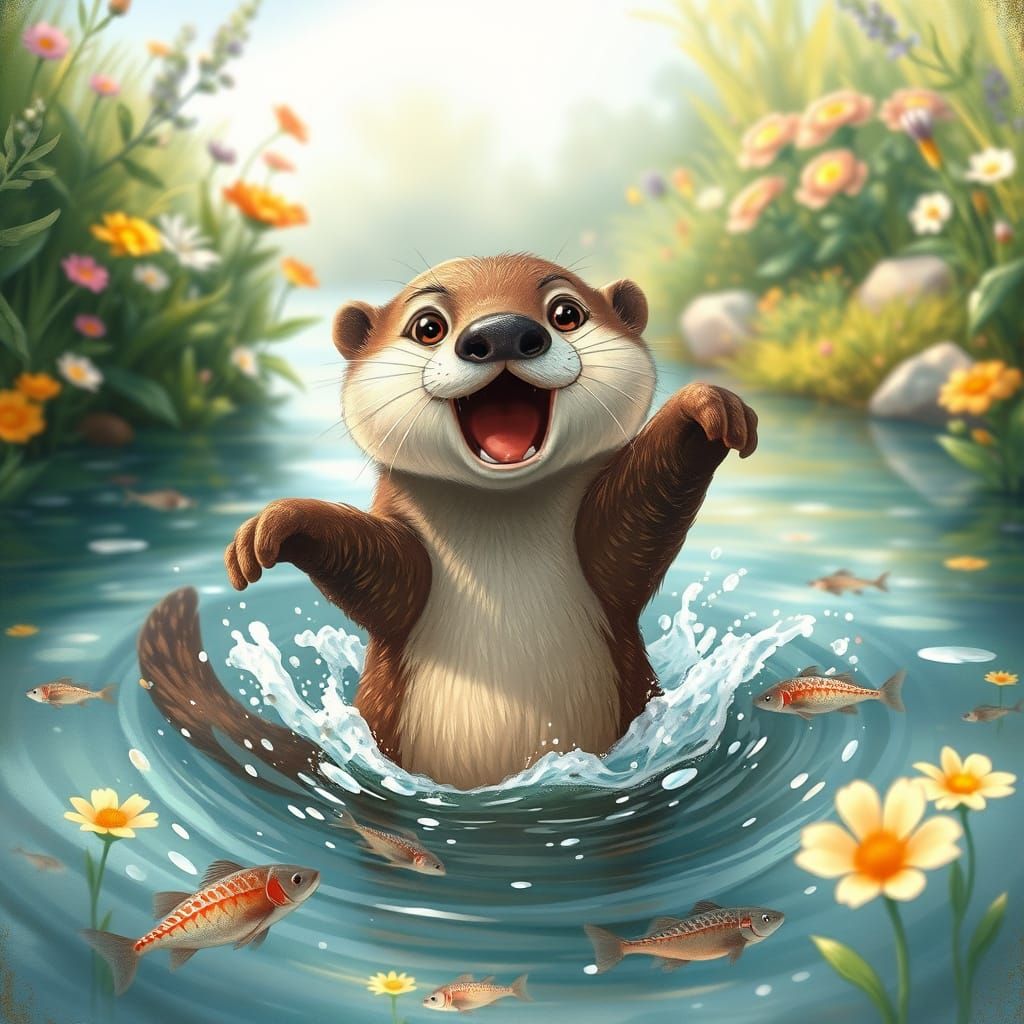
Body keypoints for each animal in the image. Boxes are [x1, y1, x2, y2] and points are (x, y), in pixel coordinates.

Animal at [139, 254, 757, 790]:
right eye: (428, 326)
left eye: (566, 312)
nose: (502, 332)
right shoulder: (407, 566)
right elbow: (377, 566)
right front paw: (279, 520)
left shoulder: (604, 553)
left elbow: (636, 524)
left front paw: (704, 405)